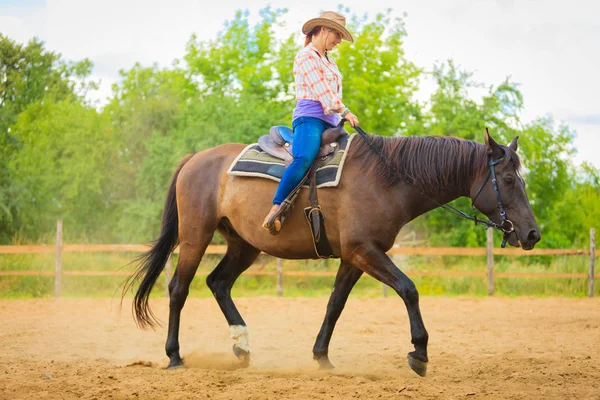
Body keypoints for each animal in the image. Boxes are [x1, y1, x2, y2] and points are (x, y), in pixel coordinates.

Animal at [122, 127, 540, 376]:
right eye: (507, 179)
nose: (533, 233)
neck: (387, 179)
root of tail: (194, 159)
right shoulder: (364, 251)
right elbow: (408, 289)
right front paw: (419, 353)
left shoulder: (356, 257)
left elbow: (335, 304)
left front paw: (321, 357)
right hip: (196, 235)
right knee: (179, 288)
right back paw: (174, 356)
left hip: (244, 244)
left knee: (218, 282)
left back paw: (242, 347)